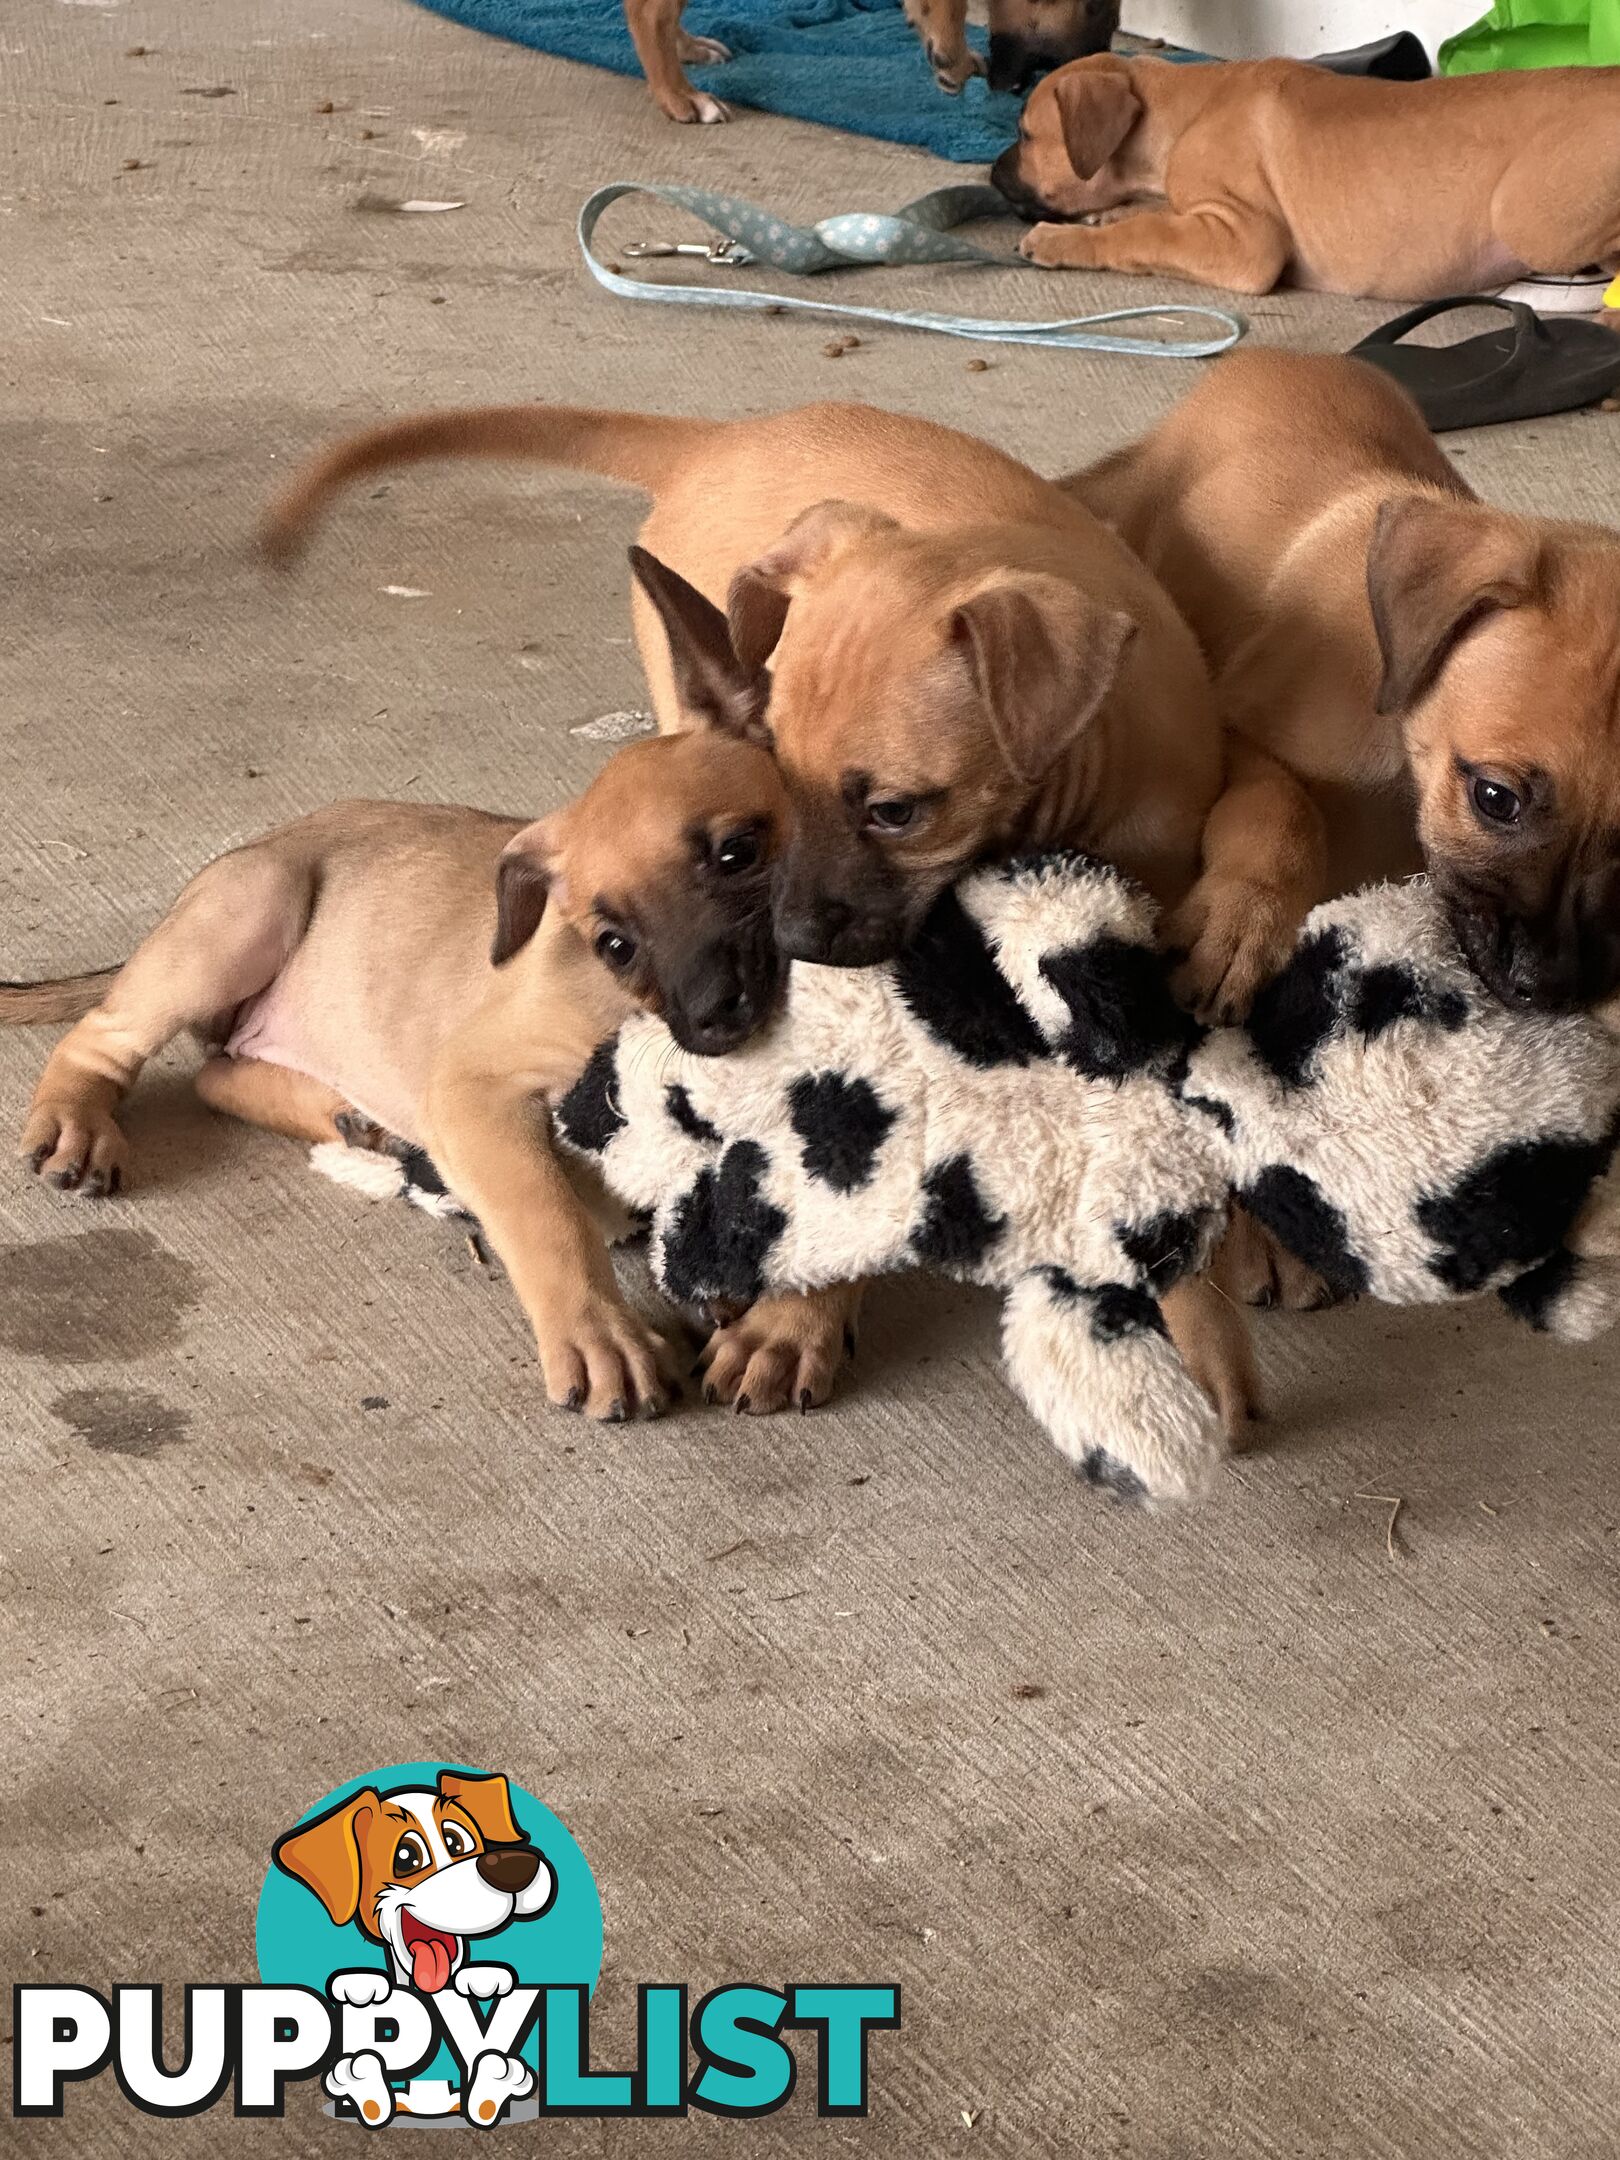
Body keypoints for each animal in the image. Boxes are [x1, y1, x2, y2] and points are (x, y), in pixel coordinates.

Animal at [6, 565, 794, 1425]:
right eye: (614, 943)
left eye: (737, 852)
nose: (717, 1017)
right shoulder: (472, 1085)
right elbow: (543, 1212)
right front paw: (599, 1334)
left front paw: (786, 1331)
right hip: (252, 904)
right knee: (104, 1036)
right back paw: (78, 1124)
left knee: (219, 1072)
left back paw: (353, 1118)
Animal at [260, 393, 1261, 1434]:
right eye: (777, 773)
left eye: (894, 810)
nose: (791, 949)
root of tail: (723, 435)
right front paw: (793, 1321)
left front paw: (1207, 1310)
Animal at [997, 54, 1620, 298]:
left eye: (1026, 135)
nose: (993, 176)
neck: (1180, 111)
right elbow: (1151, 217)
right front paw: (1107, 213)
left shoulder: (1244, 240)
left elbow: (1146, 234)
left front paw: (1063, 240)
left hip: (1528, 218)